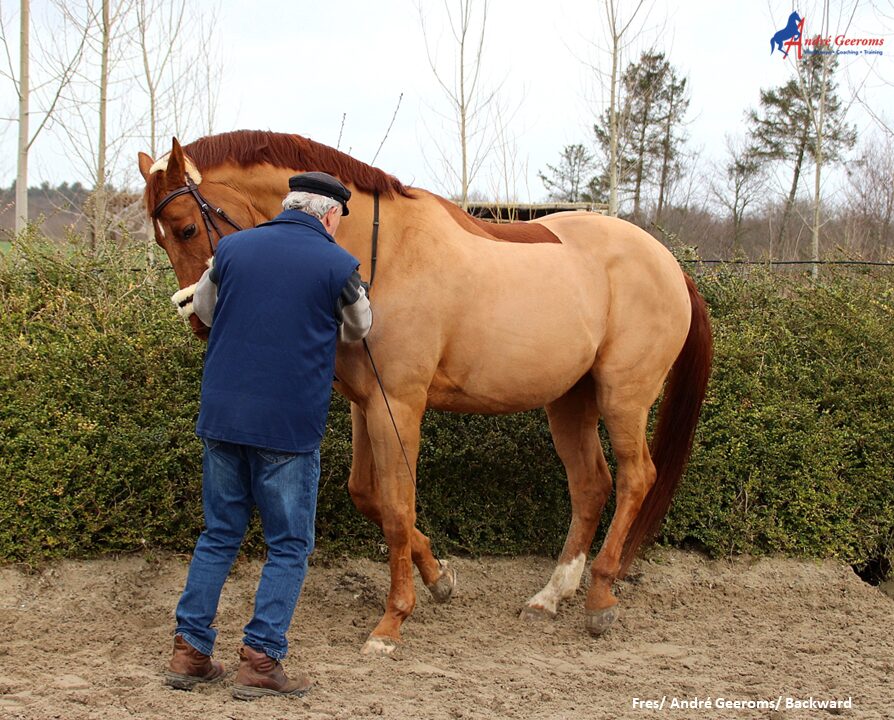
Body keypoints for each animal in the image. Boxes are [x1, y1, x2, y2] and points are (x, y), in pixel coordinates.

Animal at [140, 129, 712, 652]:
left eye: (186, 227)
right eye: (162, 238)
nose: (200, 320)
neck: (383, 252)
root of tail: (668, 262)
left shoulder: (399, 404)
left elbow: (398, 508)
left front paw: (393, 620)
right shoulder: (366, 403)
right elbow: (368, 495)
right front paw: (439, 578)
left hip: (624, 397)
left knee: (636, 478)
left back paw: (599, 599)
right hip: (570, 400)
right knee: (591, 484)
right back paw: (551, 596)